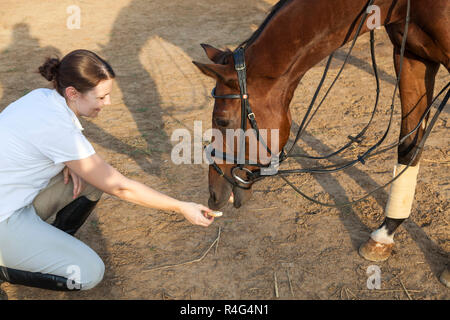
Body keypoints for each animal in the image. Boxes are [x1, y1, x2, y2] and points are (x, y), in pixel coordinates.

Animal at [193, 0, 450, 284]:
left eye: (222, 120)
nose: (213, 195)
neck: (408, 5)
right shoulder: (411, 57)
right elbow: (409, 146)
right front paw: (384, 235)